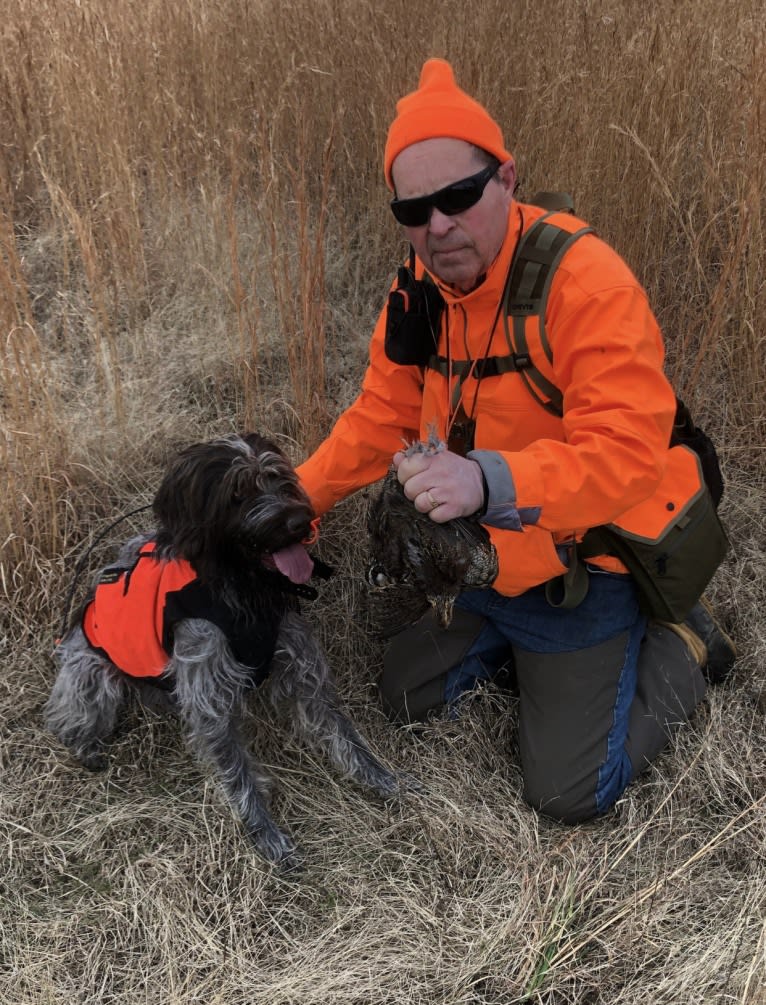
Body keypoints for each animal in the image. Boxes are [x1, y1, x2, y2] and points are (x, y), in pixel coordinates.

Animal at [46, 436, 406, 868]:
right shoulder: (209, 699)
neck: (244, 587)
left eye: (280, 479)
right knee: (69, 715)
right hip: (92, 674)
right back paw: (85, 745)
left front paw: (381, 778)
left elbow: (344, 734)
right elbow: (237, 772)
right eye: (238, 493)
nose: (299, 522)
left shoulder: (302, 668)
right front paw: (265, 832)